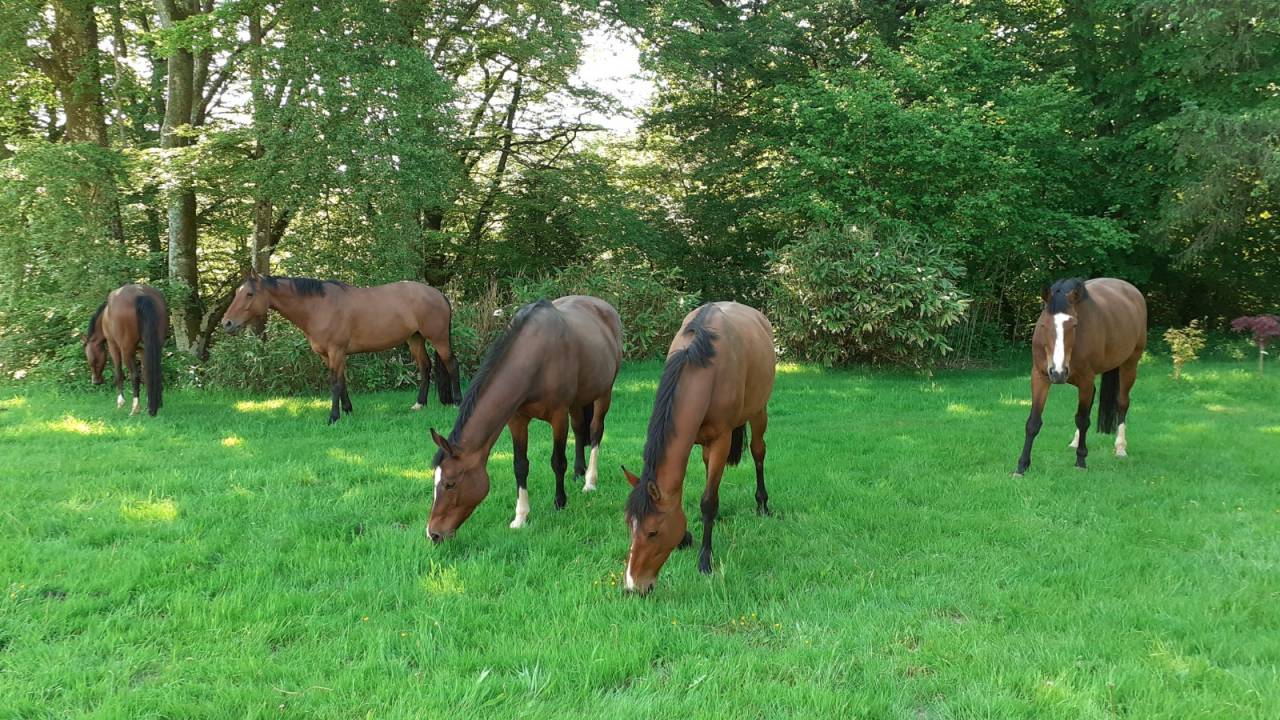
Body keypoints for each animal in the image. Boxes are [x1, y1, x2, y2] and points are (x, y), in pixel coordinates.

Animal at [83, 284, 168, 416]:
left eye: (89, 358)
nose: (96, 381)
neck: (105, 317)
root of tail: (141, 293)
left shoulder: (113, 346)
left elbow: (119, 373)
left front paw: (120, 402)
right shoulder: (142, 349)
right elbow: (147, 373)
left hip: (126, 350)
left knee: (135, 375)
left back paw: (135, 408)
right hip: (155, 345)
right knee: (154, 371)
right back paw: (155, 405)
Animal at [220, 270, 461, 424]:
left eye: (249, 294)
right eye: (237, 292)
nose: (226, 323)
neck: (317, 306)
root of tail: (438, 294)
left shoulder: (336, 351)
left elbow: (335, 384)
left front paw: (333, 417)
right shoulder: (329, 355)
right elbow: (342, 382)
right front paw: (348, 410)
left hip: (438, 338)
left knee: (451, 364)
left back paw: (457, 403)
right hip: (415, 339)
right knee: (425, 367)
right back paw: (420, 404)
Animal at [427, 296, 622, 543]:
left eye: (450, 484)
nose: (433, 533)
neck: (535, 359)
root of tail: (604, 306)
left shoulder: (558, 416)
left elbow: (558, 462)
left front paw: (560, 503)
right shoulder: (517, 420)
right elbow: (520, 466)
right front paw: (520, 517)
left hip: (604, 392)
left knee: (596, 431)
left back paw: (589, 481)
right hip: (578, 401)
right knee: (580, 429)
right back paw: (579, 472)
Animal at [622, 302, 776, 596]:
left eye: (653, 532)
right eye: (629, 526)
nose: (634, 585)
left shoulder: (721, 441)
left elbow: (707, 501)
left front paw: (705, 560)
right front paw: (686, 537)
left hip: (759, 411)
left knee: (759, 452)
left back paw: (762, 504)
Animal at [1014, 277, 1147, 476]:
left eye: (1074, 325)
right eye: (1044, 324)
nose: (1058, 372)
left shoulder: (1085, 380)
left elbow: (1083, 420)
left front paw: (1081, 461)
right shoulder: (1040, 377)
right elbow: (1033, 422)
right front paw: (1022, 466)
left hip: (1130, 364)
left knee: (1122, 403)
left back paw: (1120, 448)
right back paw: (1075, 441)